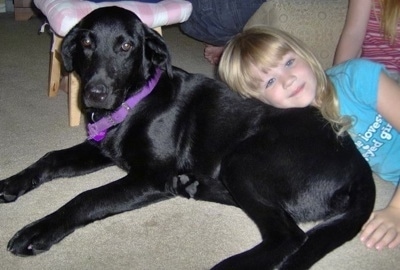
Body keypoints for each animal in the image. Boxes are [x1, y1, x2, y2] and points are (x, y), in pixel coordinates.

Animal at [0, 6, 376, 270]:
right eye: (87, 43)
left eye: (126, 46)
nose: (95, 95)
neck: (136, 101)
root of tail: (360, 166)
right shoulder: (102, 149)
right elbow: (50, 158)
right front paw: (11, 183)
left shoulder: (151, 176)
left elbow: (86, 197)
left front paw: (38, 231)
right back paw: (192, 185)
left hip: (245, 159)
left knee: (289, 235)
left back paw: (229, 264)